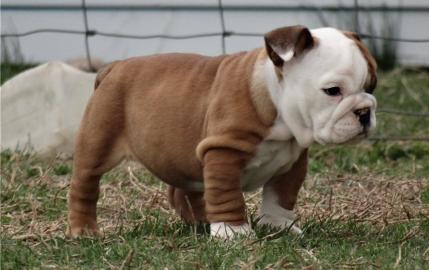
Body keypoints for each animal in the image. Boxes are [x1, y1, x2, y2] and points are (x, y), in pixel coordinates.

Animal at [66, 25, 374, 238]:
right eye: (332, 91)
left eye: (371, 86)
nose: (364, 112)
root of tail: (114, 68)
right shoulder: (224, 151)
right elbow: (227, 194)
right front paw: (232, 232)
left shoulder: (293, 161)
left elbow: (281, 196)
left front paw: (279, 226)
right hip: (98, 142)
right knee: (85, 187)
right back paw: (84, 231)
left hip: (183, 154)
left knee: (184, 190)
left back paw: (201, 222)